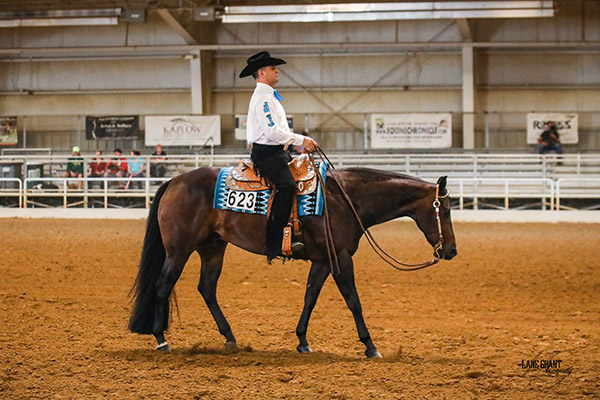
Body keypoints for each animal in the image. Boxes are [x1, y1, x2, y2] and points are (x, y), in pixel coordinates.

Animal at [129, 166, 458, 356]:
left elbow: (310, 297)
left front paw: (302, 341)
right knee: (162, 286)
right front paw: (370, 346)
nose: (451, 251)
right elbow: (353, 300)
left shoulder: (324, 260)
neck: (345, 198)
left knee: (207, 288)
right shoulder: (341, 259)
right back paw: (161, 340)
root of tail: (174, 180)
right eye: (445, 210)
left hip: (213, 247)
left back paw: (230, 338)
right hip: (179, 250)